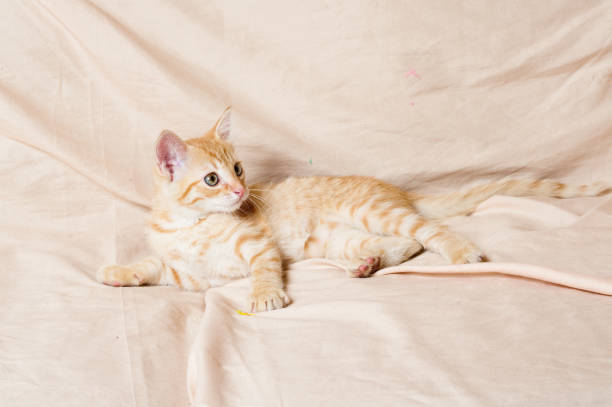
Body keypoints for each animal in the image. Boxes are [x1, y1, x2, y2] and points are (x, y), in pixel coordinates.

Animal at [98, 107, 608, 312]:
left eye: (239, 169)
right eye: (212, 179)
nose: (242, 192)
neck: (193, 225)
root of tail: (393, 189)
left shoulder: (259, 247)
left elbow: (264, 270)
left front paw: (265, 295)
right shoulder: (192, 278)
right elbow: (153, 267)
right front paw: (119, 273)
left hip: (377, 213)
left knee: (429, 230)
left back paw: (461, 252)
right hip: (339, 238)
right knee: (404, 243)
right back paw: (369, 262)